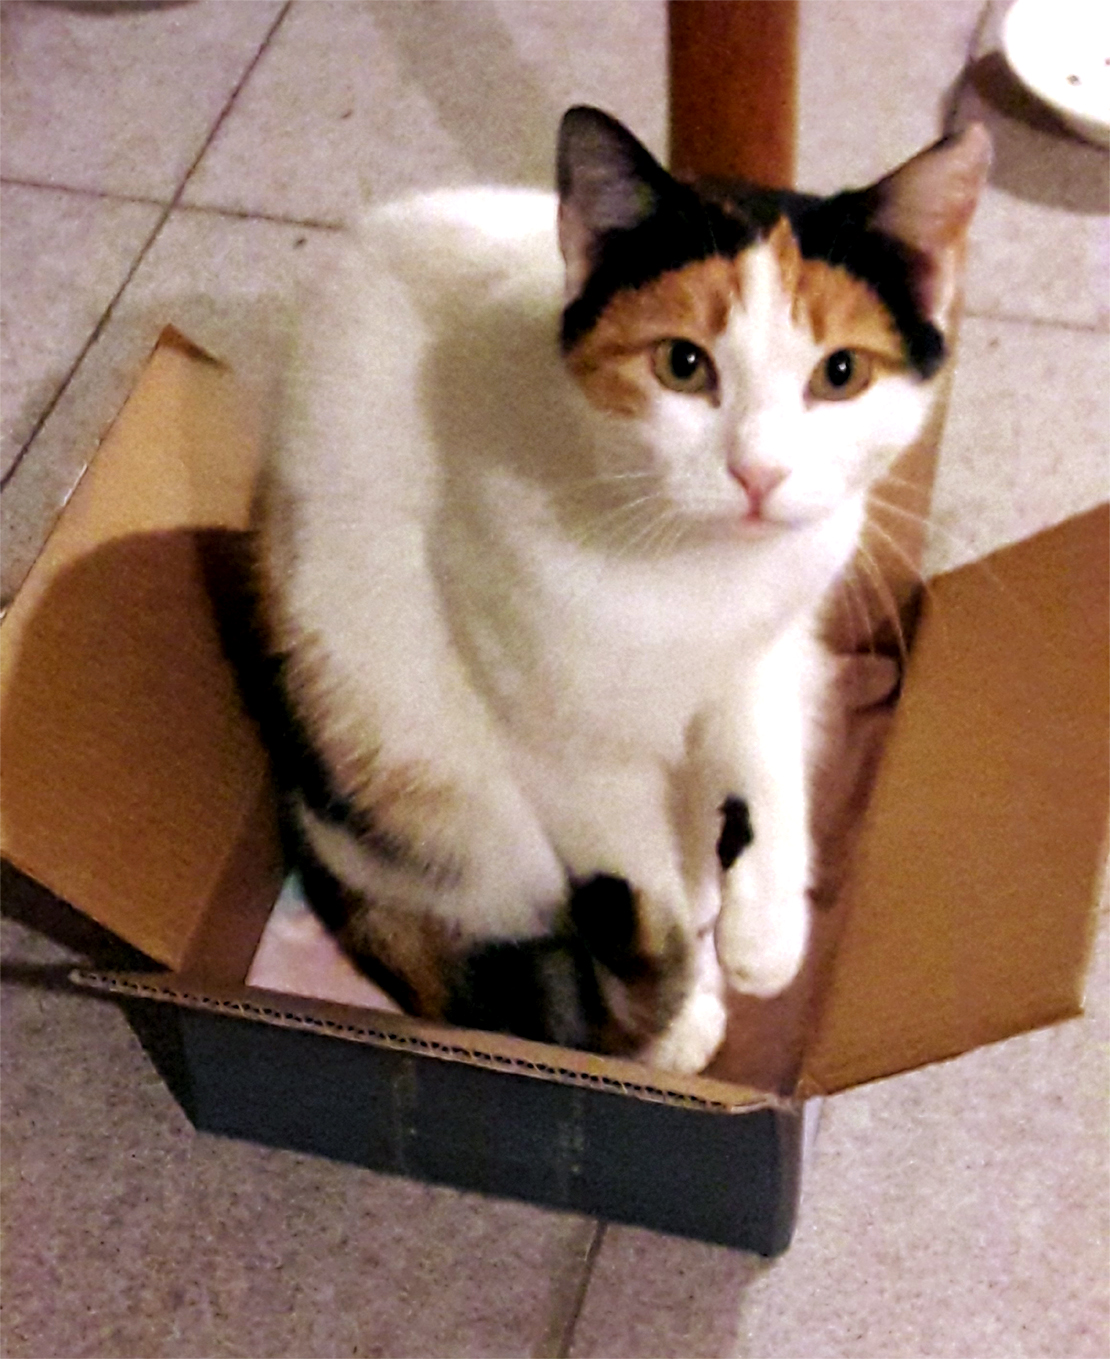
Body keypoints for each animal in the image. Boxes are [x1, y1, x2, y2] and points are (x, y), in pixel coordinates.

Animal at [252, 107, 990, 1075]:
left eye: (841, 374)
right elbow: (632, 875)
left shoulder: (773, 638)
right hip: (397, 734)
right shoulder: (554, 731)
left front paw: (764, 925)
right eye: (682, 364)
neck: (703, 566)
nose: (758, 473)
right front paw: (672, 1017)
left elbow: (764, 752)